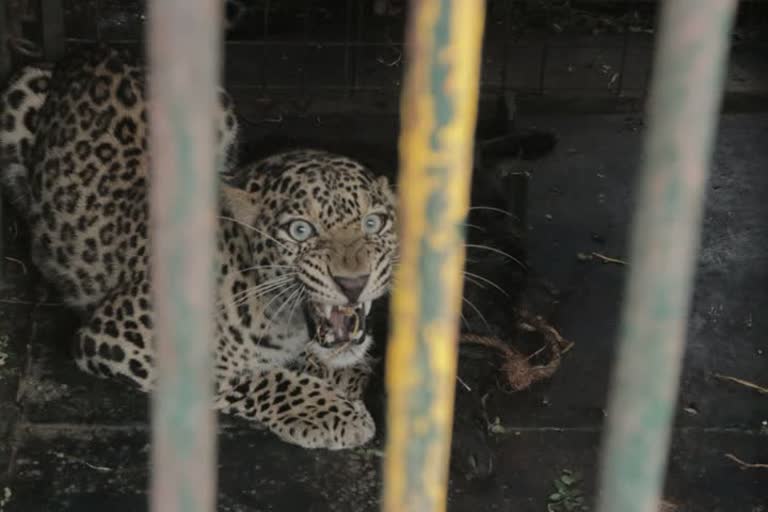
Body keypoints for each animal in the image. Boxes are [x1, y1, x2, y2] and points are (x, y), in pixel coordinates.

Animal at [0, 47, 396, 448]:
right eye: (300, 230)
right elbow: (249, 376)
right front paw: (329, 410)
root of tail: (94, 50)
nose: (354, 282)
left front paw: (348, 373)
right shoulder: (119, 337)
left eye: (373, 223)